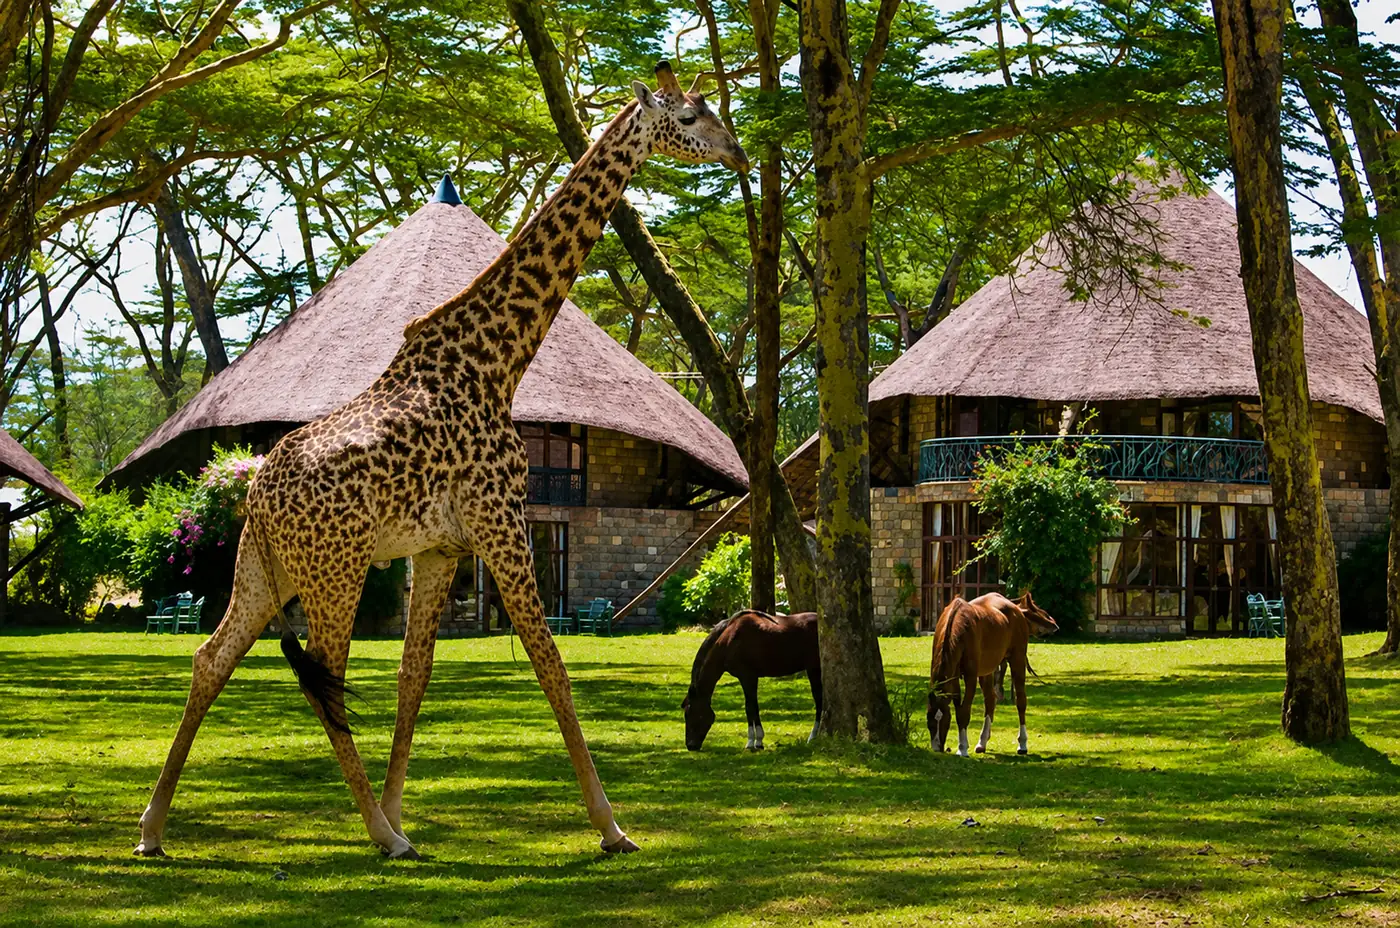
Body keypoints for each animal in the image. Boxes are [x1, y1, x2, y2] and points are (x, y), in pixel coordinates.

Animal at [134, 62, 747, 860]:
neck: (500, 362)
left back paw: (153, 829)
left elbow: (414, 677)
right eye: (695, 115)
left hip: (263, 569)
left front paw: (401, 809)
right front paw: (612, 827)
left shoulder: (440, 547)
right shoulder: (502, 524)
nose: (738, 152)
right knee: (323, 679)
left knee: (213, 658)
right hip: (335, 571)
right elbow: (552, 667)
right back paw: (378, 837)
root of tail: (258, 492)